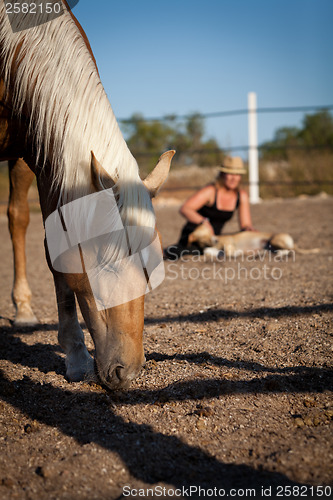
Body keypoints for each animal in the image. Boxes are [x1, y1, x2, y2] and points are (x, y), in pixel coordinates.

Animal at [0, 1, 175, 388]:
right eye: (105, 265)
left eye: (152, 268)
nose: (128, 371)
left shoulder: (48, 157)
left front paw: (75, 357)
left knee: (17, 218)